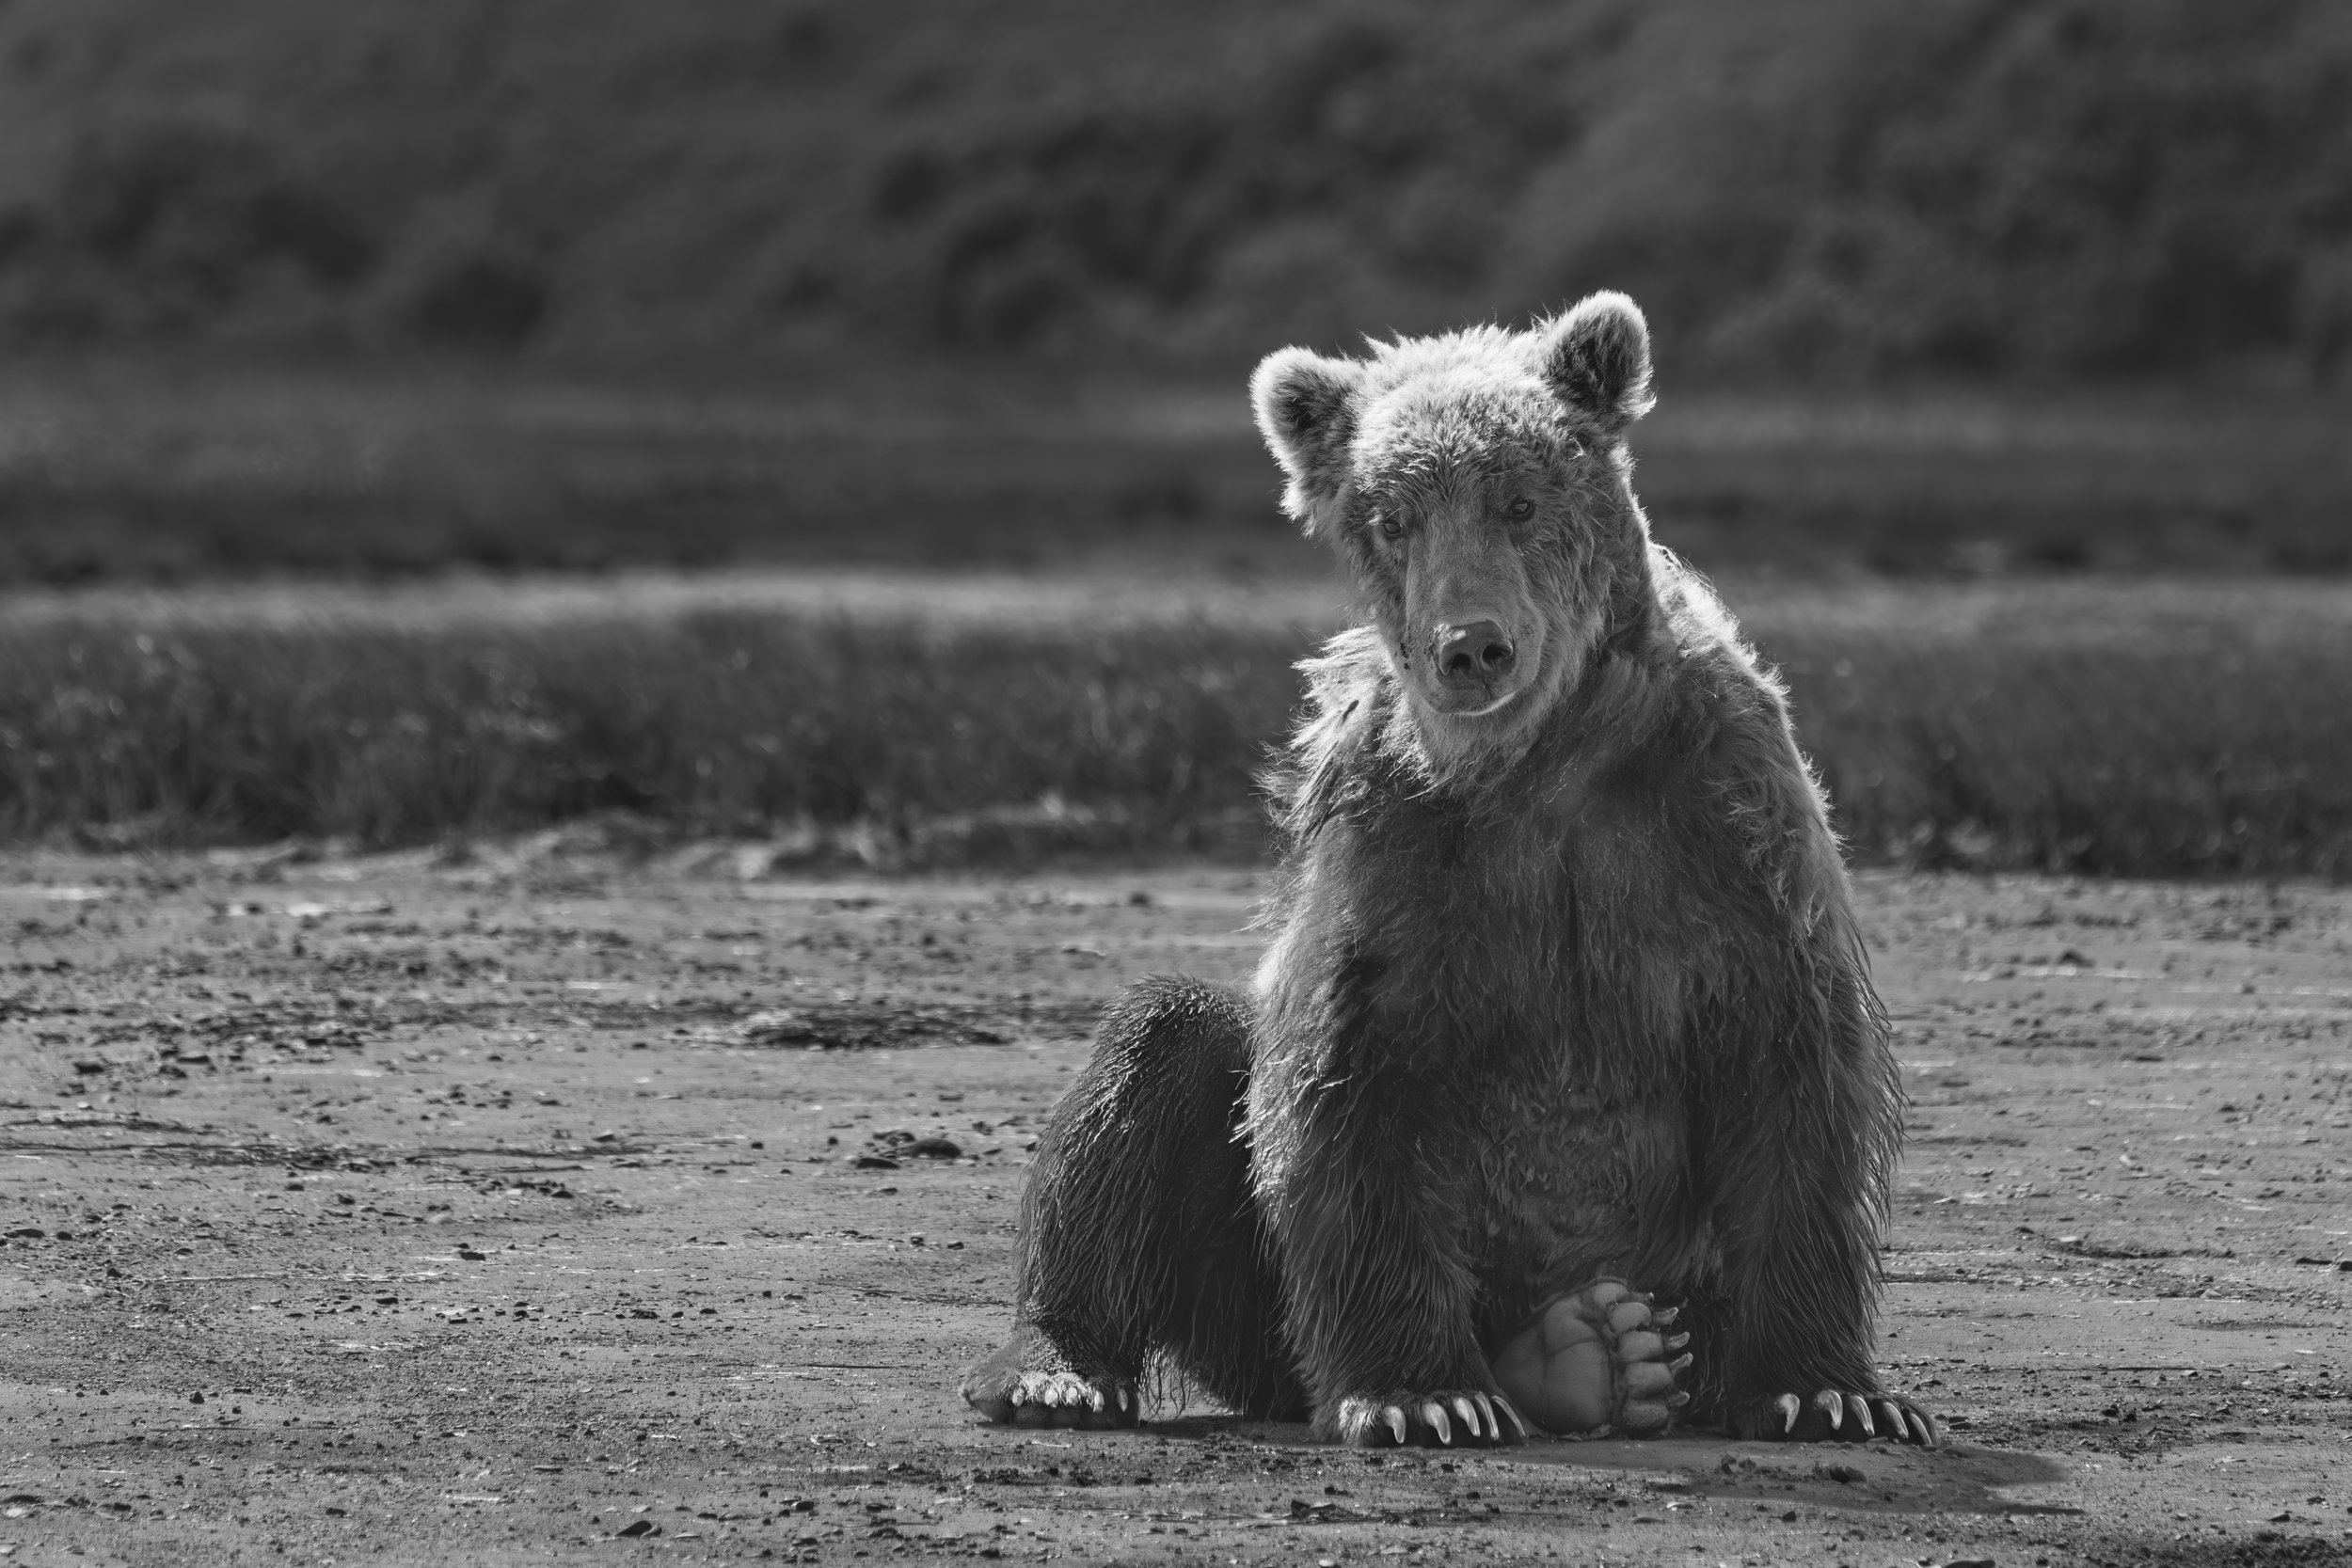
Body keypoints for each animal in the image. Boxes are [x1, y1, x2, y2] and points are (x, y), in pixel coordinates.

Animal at [961, 292, 1938, 1450]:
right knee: (1158, 1056)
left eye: (1519, 497)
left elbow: (1793, 1065)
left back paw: (1606, 1351)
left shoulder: (1722, 823)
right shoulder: (1401, 851)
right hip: (1260, 1300)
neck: (1546, 764)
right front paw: (1421, 1393)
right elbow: (1348, 1081)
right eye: (1392, 519)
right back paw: (1059, 1367)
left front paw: (1830, 1390)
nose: (1469, 645)